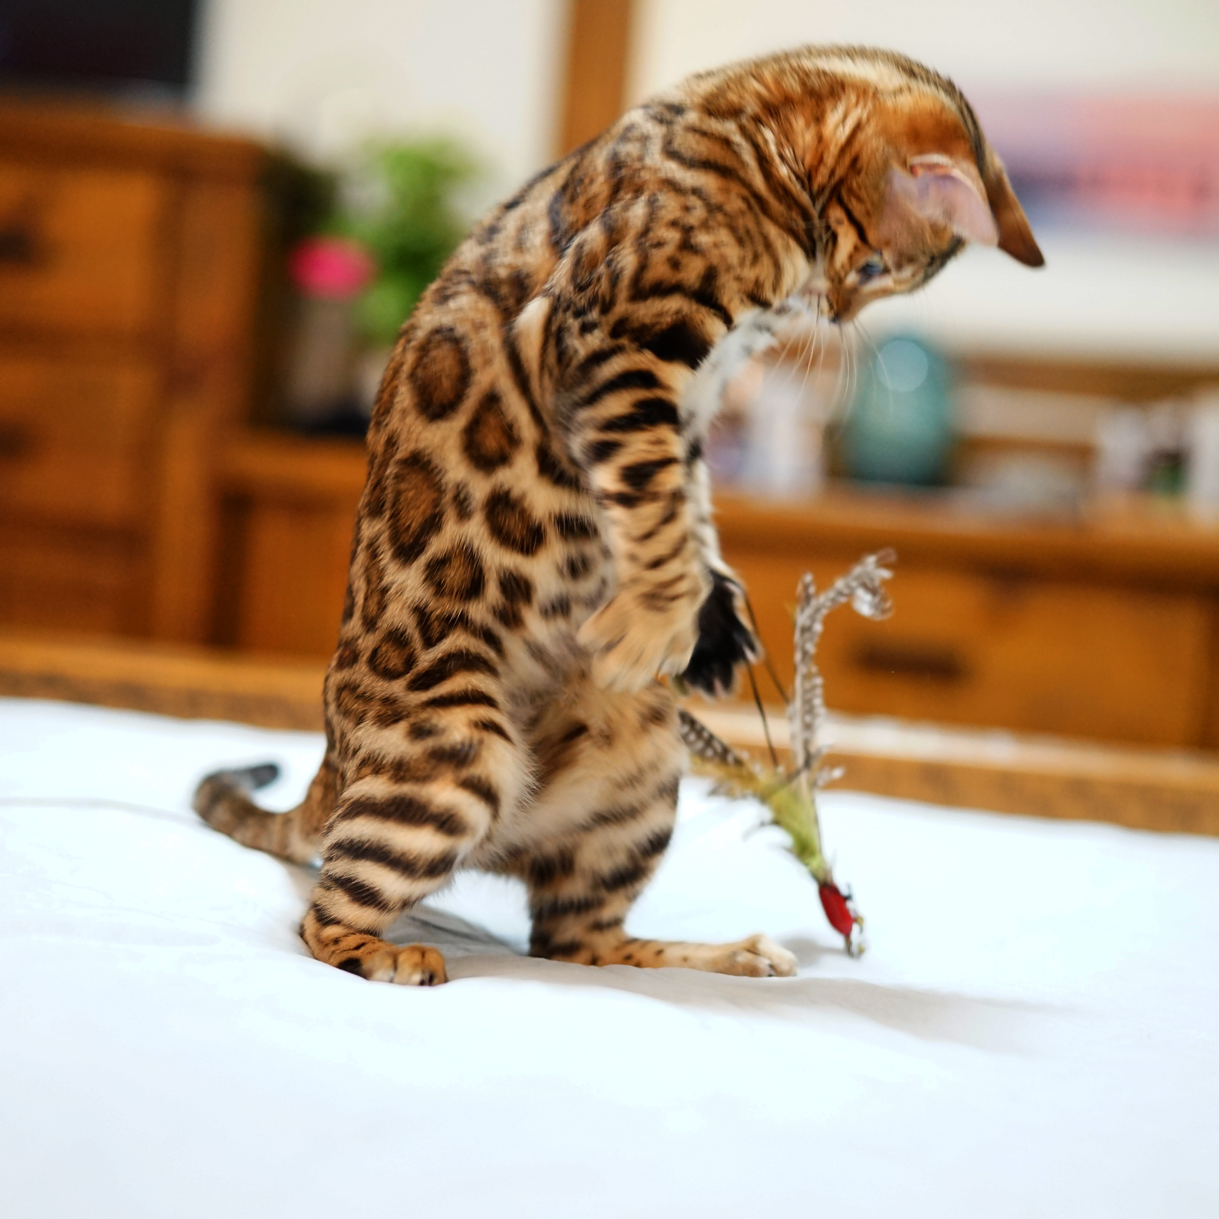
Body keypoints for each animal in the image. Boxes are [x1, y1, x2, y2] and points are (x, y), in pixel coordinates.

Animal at [195, 45, 1043, 989]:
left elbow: (688, 513)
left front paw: (715, 621)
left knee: (577, 939)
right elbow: (658, 508)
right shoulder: (610, 347)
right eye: (872, 273)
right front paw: (660, 621)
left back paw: (729, 952)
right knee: (324, 912)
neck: (749, 127)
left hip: (640, 774)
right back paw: (385, 950)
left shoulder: (682, 410)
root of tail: (333, 758)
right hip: (455, 752)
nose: (837, 312)